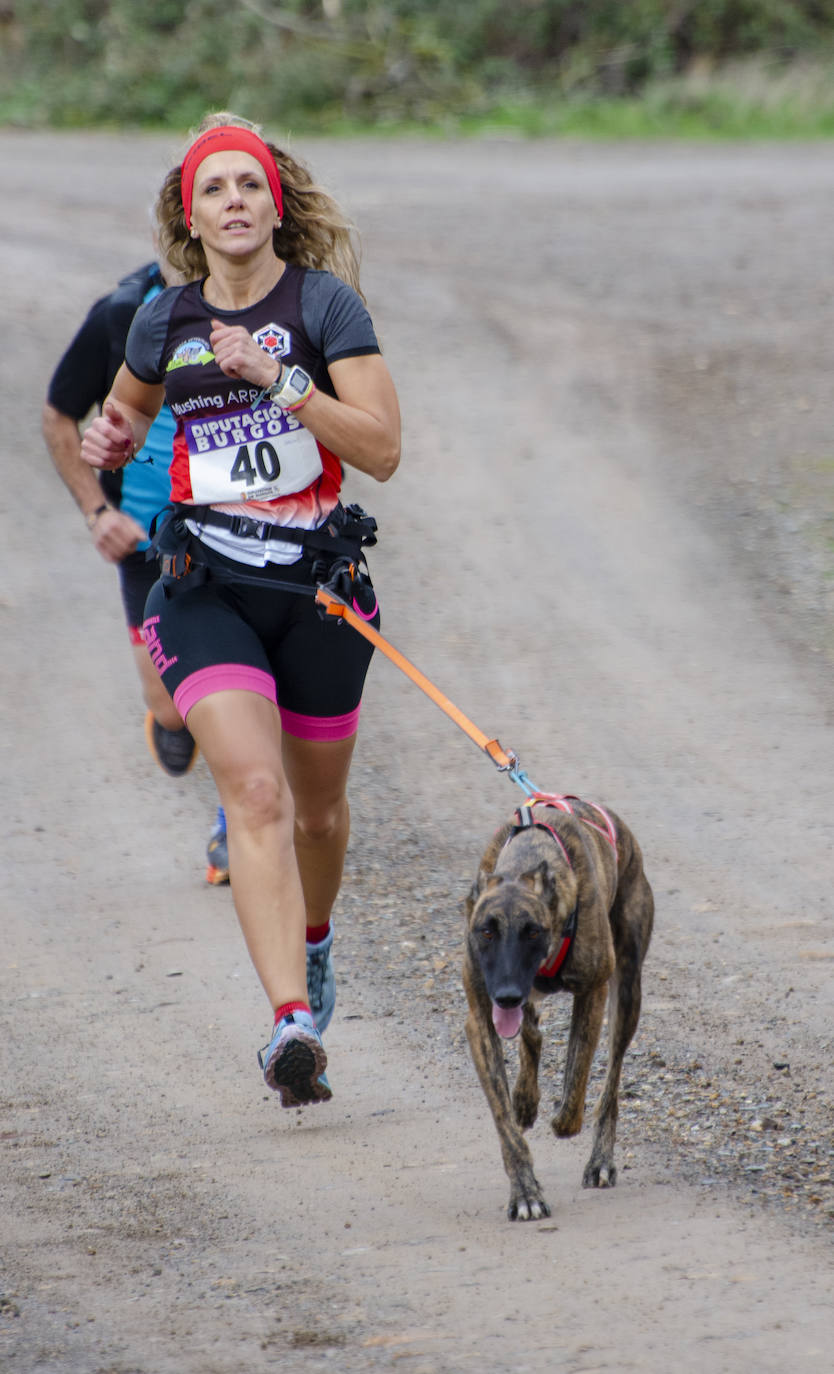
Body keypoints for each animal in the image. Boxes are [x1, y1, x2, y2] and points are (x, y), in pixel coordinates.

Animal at [464, 796, 654, 1225]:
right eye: (486, 931)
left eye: (533, 931)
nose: (506, 996)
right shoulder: (479, 1019)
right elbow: (505, 1123)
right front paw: (525, 1192)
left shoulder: (593, 992)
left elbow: (575, 1087)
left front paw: (562, 1118)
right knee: (532, 1032)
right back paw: (525, 1095)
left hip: (627, 992)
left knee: (610, 1087)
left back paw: (600, 1160)